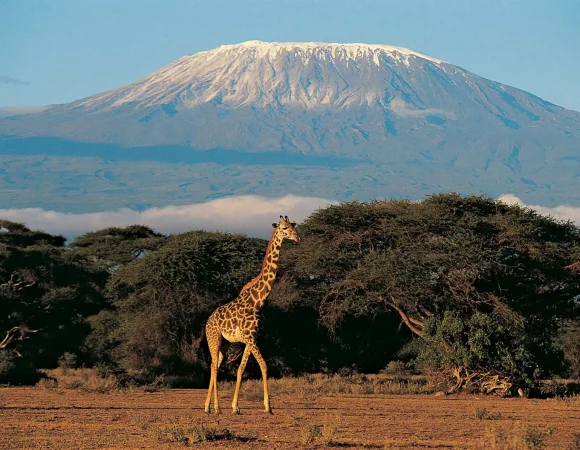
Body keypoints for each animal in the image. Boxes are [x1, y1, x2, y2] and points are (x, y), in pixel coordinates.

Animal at [203, 214, 300, 414]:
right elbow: (264, 365)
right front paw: (268, 407)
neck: (259, 299)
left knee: (215, 364)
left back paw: (208, 406)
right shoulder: (249, 337)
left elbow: (241, 368)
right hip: (213, 338)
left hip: (224, 344)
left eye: (293, 226)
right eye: (284, 228)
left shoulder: (252, 337)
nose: (297, 237)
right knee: (214, 366)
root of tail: (208, 321)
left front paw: (235, 406)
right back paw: (216, 407)